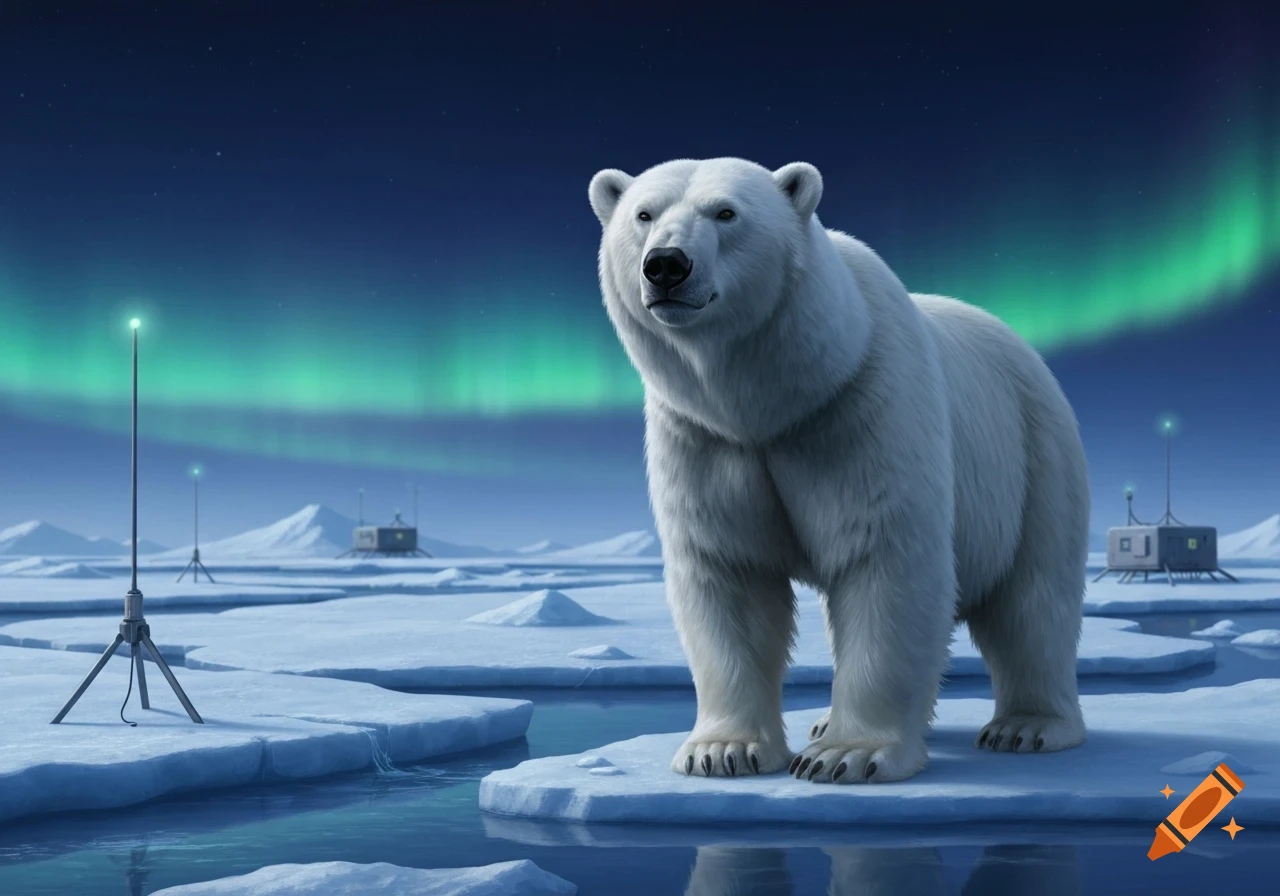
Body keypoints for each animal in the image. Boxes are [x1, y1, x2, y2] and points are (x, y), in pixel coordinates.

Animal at [588, 157, 1090, 784]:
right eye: (643, 214)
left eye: (726, 212)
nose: (666, 266)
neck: (773, 402)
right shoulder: (702, 439)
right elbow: (729, 574)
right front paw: (721, 751)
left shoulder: (862, 409)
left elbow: (885, 561)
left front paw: (847, 755)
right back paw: (824, 721)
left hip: (1034, 457)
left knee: (1033, 601)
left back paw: (1027, 726)